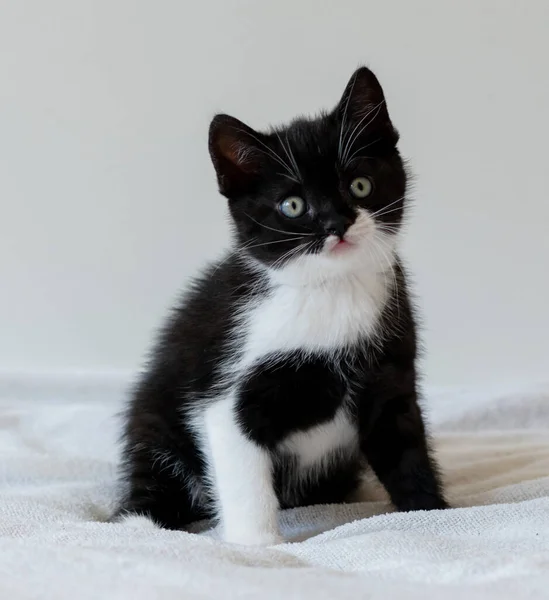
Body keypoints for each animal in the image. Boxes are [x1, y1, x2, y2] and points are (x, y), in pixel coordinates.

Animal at [114, 67, 446, 548]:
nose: (337, 224)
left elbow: (406, 451)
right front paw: (258, 547)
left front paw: (432, 514)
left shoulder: (390, 375)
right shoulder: (228, 390)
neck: (328, 289)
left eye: (360, 185)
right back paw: (139, 524)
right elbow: (244, 476)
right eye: (293, 206)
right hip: (154, 412)